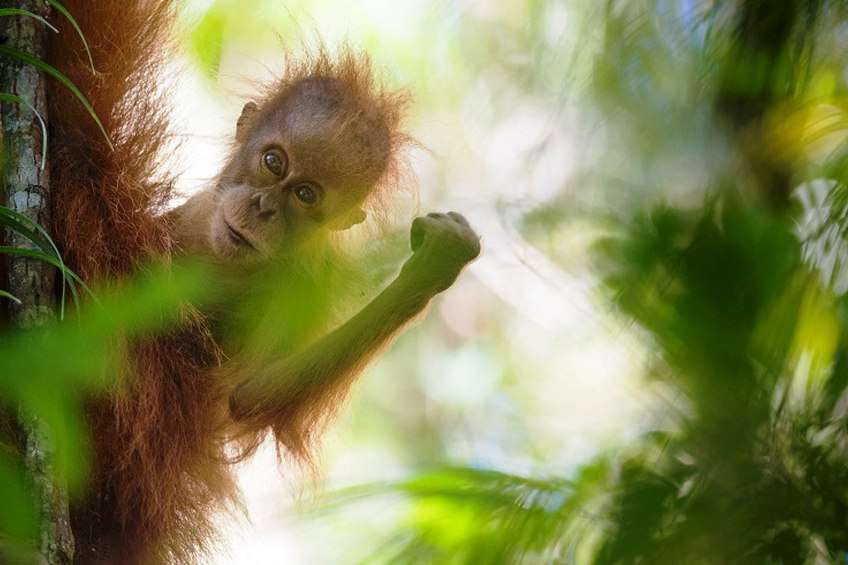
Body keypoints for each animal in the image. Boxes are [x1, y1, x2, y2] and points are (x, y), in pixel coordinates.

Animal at [40, 1, 479, 564]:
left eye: (307, 194)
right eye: (274, 161)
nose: (264, 207)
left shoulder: (296, 286)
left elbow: (250, 394)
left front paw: (431, 267)